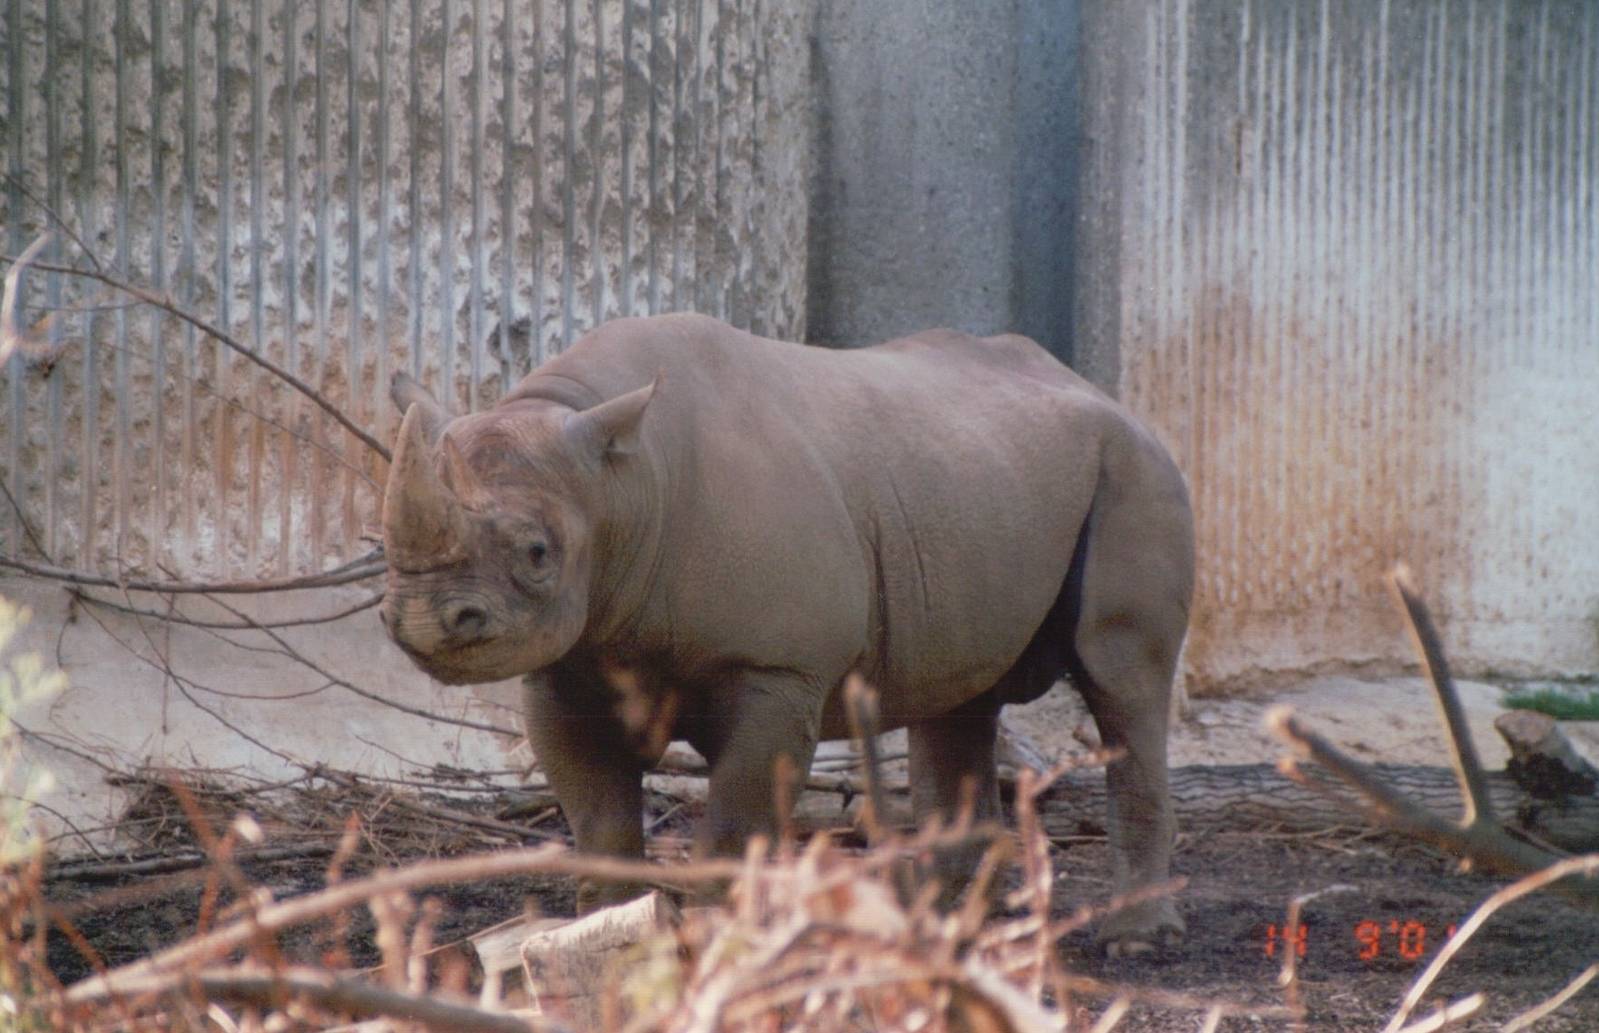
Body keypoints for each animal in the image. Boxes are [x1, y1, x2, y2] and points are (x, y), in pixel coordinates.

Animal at [379, 313, 1194, 954]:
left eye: (537, 553)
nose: (422, 621)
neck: (622, 485)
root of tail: (1104, 392)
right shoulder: (567, 663)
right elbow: (599, 825)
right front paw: (600, 942)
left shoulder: (777, 669)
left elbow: (734, 822)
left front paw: (713, 943)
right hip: (973, 481)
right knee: (958, 701)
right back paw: (932, 935)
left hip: (1137, 467)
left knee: (1121, 679)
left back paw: (1131, 939)